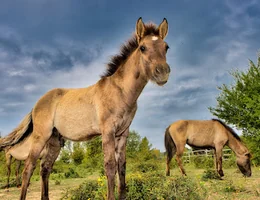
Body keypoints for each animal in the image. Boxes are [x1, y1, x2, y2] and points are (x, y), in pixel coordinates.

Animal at [0, 17, 172, 200]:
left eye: (166, 47)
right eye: (142, 47)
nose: (163, 72)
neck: (120, 91)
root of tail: (36, 104)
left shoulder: (122, 134)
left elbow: (122, 168)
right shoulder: (108, 132)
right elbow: (110, 167)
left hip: (55, 142)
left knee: (45, 169)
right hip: (41, 137)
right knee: (28, 169)